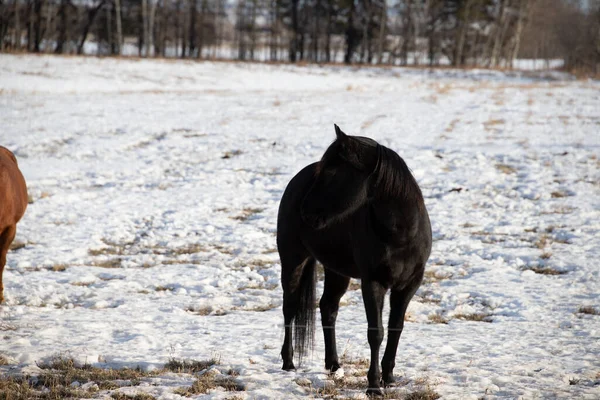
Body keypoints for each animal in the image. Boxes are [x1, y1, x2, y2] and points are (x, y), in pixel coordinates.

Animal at [276, 126, 432, 396]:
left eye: (332, 171)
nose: (305, 212)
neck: (401, 233)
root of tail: (295, 181)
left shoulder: (409, 285)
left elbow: (396, 328)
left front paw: (389, 378)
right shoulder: (373, 282)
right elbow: (376, 333)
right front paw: (374, 386)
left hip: (337, 271)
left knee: (328, 308)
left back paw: (333, 365)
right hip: (293, 259)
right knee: (290, 307)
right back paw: (288, 362)